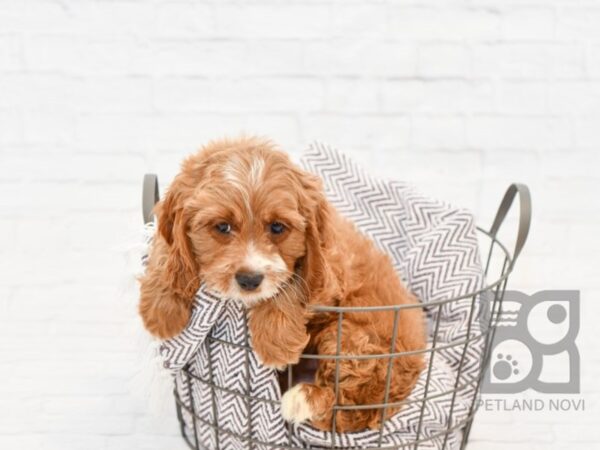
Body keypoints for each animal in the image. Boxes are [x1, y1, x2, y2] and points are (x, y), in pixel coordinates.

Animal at [139, 136, 426, 432]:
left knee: (348, 405)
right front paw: (161, 310)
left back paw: (302, 398)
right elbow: (164, 244)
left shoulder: (328, 275)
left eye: (277, 227)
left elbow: (290, 284)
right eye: (222, 227)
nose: (249, 280)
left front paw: (276, 342)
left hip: (356, 341)